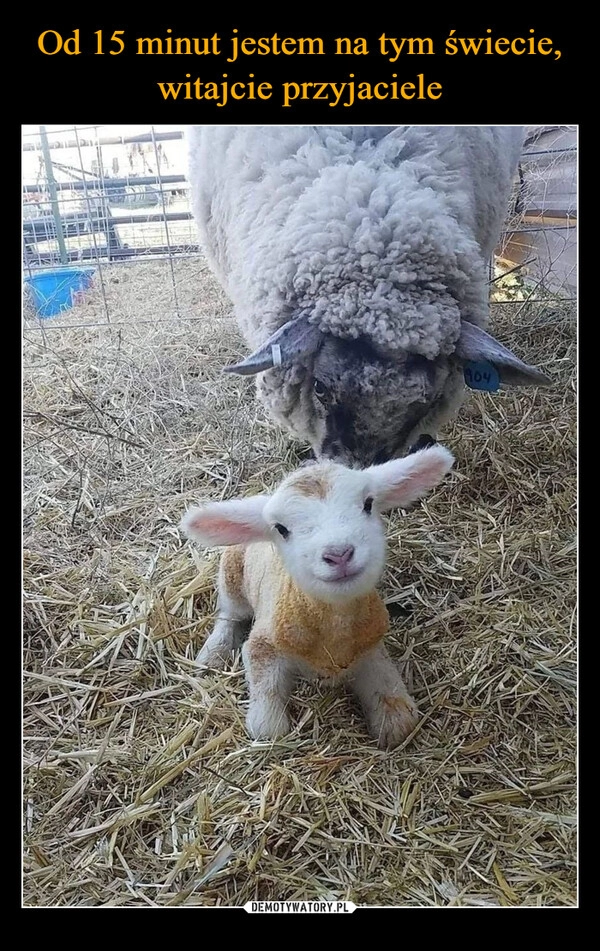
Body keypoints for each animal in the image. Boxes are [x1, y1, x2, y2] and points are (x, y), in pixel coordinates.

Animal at [180, 442, 452, 748]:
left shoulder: (370, 647)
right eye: (281, 529)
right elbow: (268, 727)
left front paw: (391, 721)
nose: (339, 554)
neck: (334, 629)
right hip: (232, 575)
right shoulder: (263, 646)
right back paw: (213, 653)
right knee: (229, 614)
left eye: (368, 503)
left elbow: (398, 711)